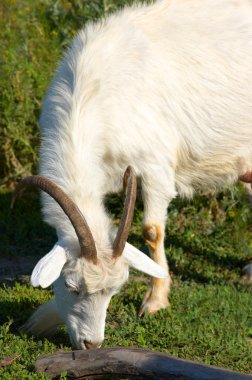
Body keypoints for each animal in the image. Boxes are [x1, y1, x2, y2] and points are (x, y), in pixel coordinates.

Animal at [14, 0, 252, 350]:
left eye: (115, 291)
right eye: (71, 287)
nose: (92, 345)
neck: (95, 89)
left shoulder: (154, 166)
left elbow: (152, 230)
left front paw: (155, 300)